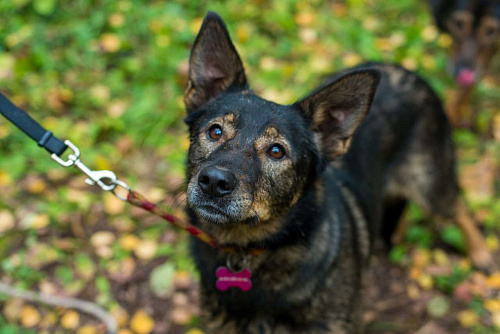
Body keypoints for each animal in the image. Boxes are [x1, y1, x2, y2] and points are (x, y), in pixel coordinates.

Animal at [182, 11, 494, 334]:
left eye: (277, 151)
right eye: (215, 131)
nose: (214, 182)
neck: (247, 250)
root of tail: (404, 68)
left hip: (431, 184)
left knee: (458, 206)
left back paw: (481, 254)